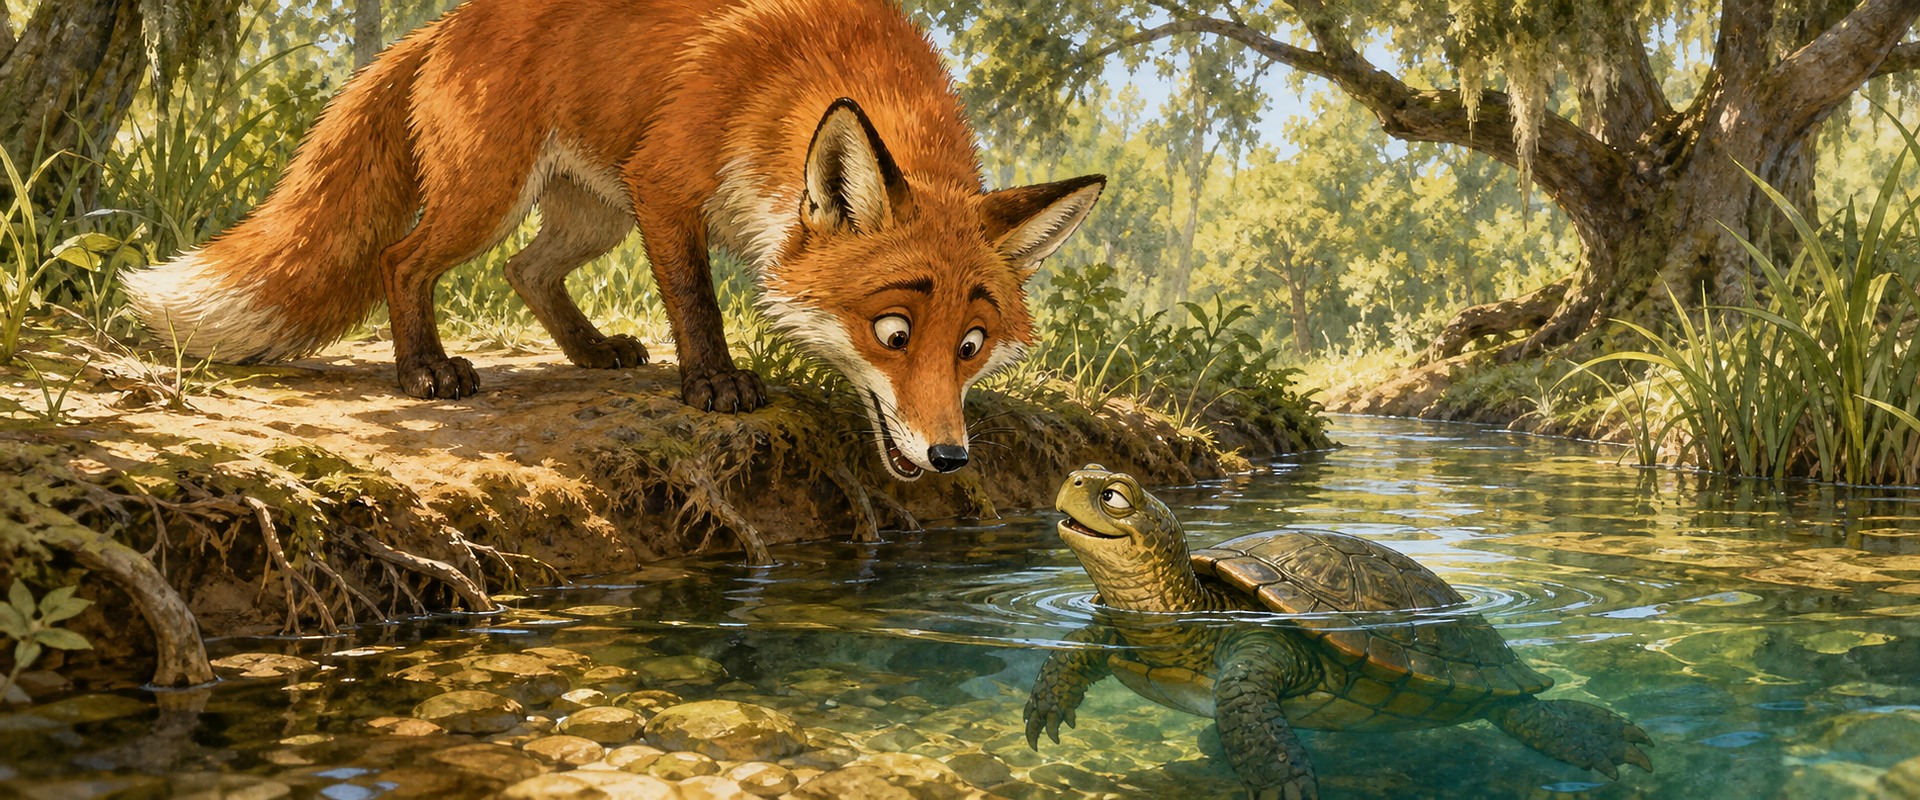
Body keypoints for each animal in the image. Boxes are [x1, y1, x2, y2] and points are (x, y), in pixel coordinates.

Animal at [123, 0, 1103, 481]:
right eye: (892, 333)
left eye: (971, 346)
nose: (950, 458)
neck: (799, 77)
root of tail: (448, 22)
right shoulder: (664, 182)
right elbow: (696, 300)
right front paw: (714, 387)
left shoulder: (648, 195)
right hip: (497, 194)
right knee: (402, 260)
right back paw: (424, 370)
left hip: (594, 213)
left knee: (524, 270)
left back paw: (591, 352)